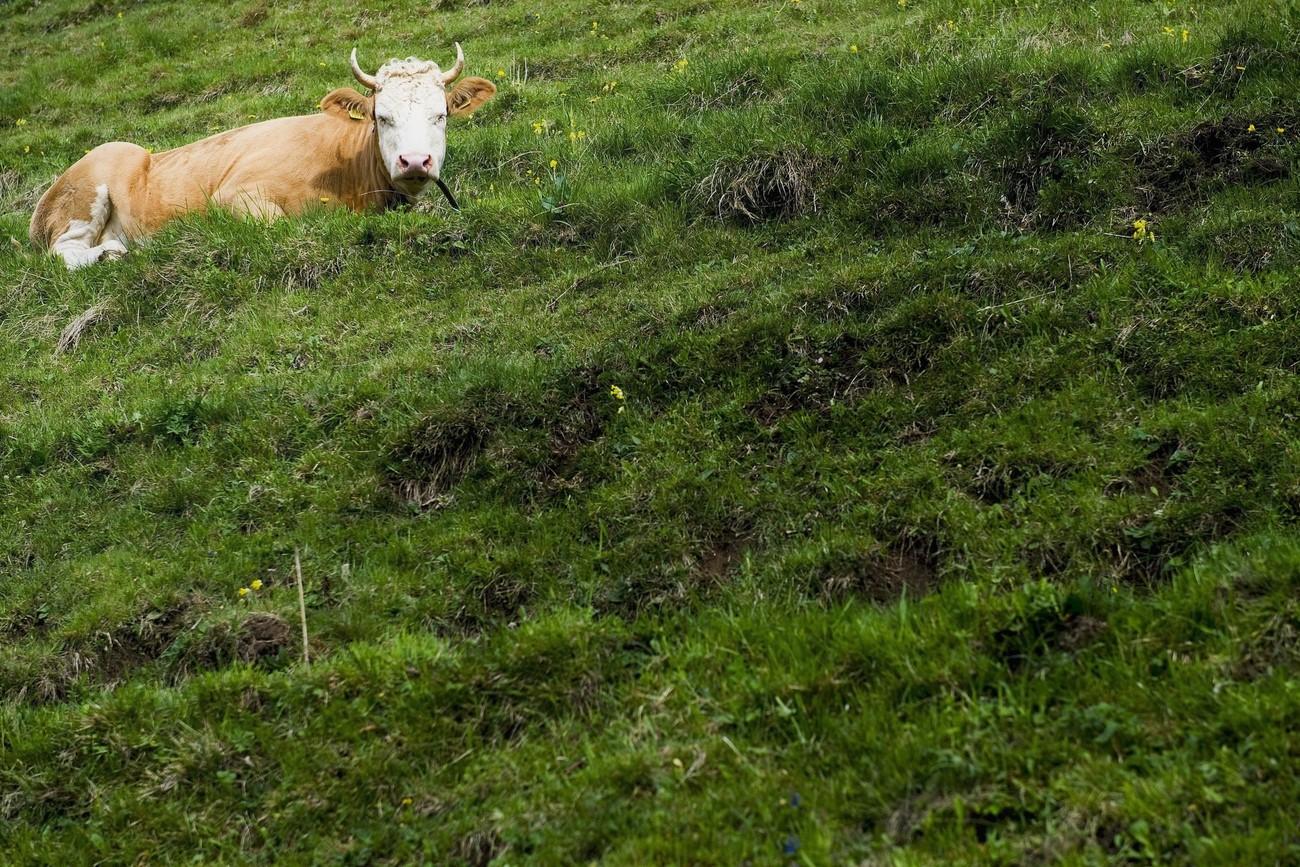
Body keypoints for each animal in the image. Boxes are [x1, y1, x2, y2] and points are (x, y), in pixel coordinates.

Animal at [28, 45, 496, 269]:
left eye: (440, 115)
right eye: (383, 117)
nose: (415, 161)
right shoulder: (235, 195)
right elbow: (279, 225)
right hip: (87, 191)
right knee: (64, 253)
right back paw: (112, 253)